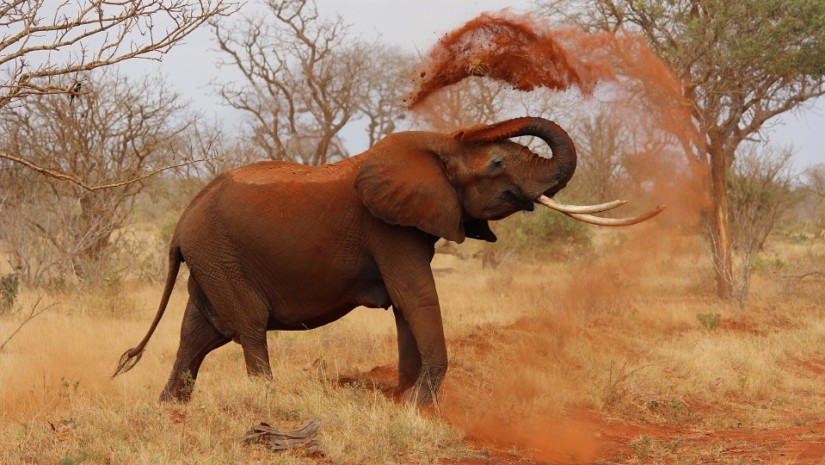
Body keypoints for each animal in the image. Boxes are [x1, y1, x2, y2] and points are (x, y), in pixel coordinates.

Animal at [112, 118, 660, 404]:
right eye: (499, 163)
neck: (437, 147)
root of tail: (181, 222)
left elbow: (405, 306)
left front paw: (403, 399)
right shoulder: (387, 228)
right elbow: (416, 297)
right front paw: (419, 405)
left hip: (211, 258)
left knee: (199, 332)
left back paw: (171, 410)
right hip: (220, 254)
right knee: (247, 326)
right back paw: (268, 403)